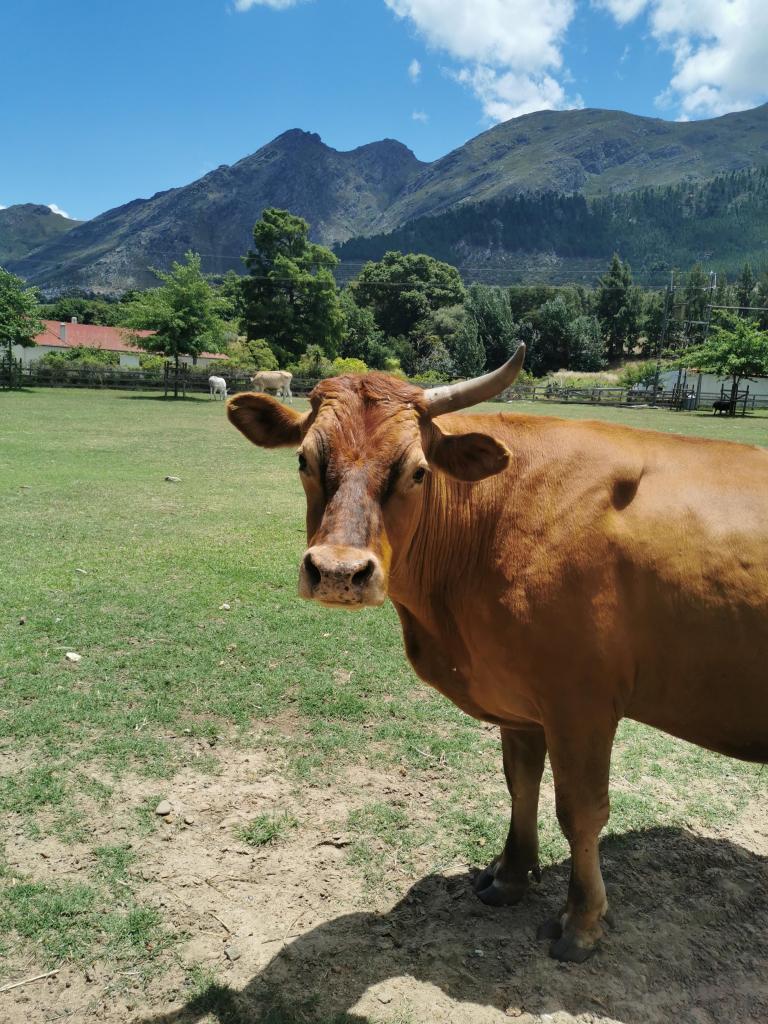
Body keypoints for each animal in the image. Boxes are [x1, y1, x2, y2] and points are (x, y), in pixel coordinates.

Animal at [227, 346, 768, 964]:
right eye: (303, 460)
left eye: (417, 471)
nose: (339, 572)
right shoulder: (519, 698)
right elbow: (521, 783)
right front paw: (510, 875)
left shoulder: (582, 703)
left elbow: (581, 811)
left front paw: (583, 921)